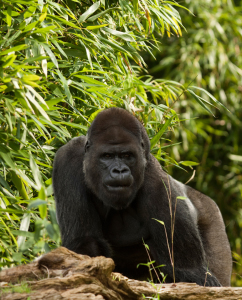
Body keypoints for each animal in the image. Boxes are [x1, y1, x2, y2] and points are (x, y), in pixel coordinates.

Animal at [52, 107, 231, 286]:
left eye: (127, 156)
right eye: (107, 156)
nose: (119, 171)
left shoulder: (159, 185)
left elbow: (192, 272)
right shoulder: (68, 159)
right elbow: (85, 243)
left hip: (211, 214)